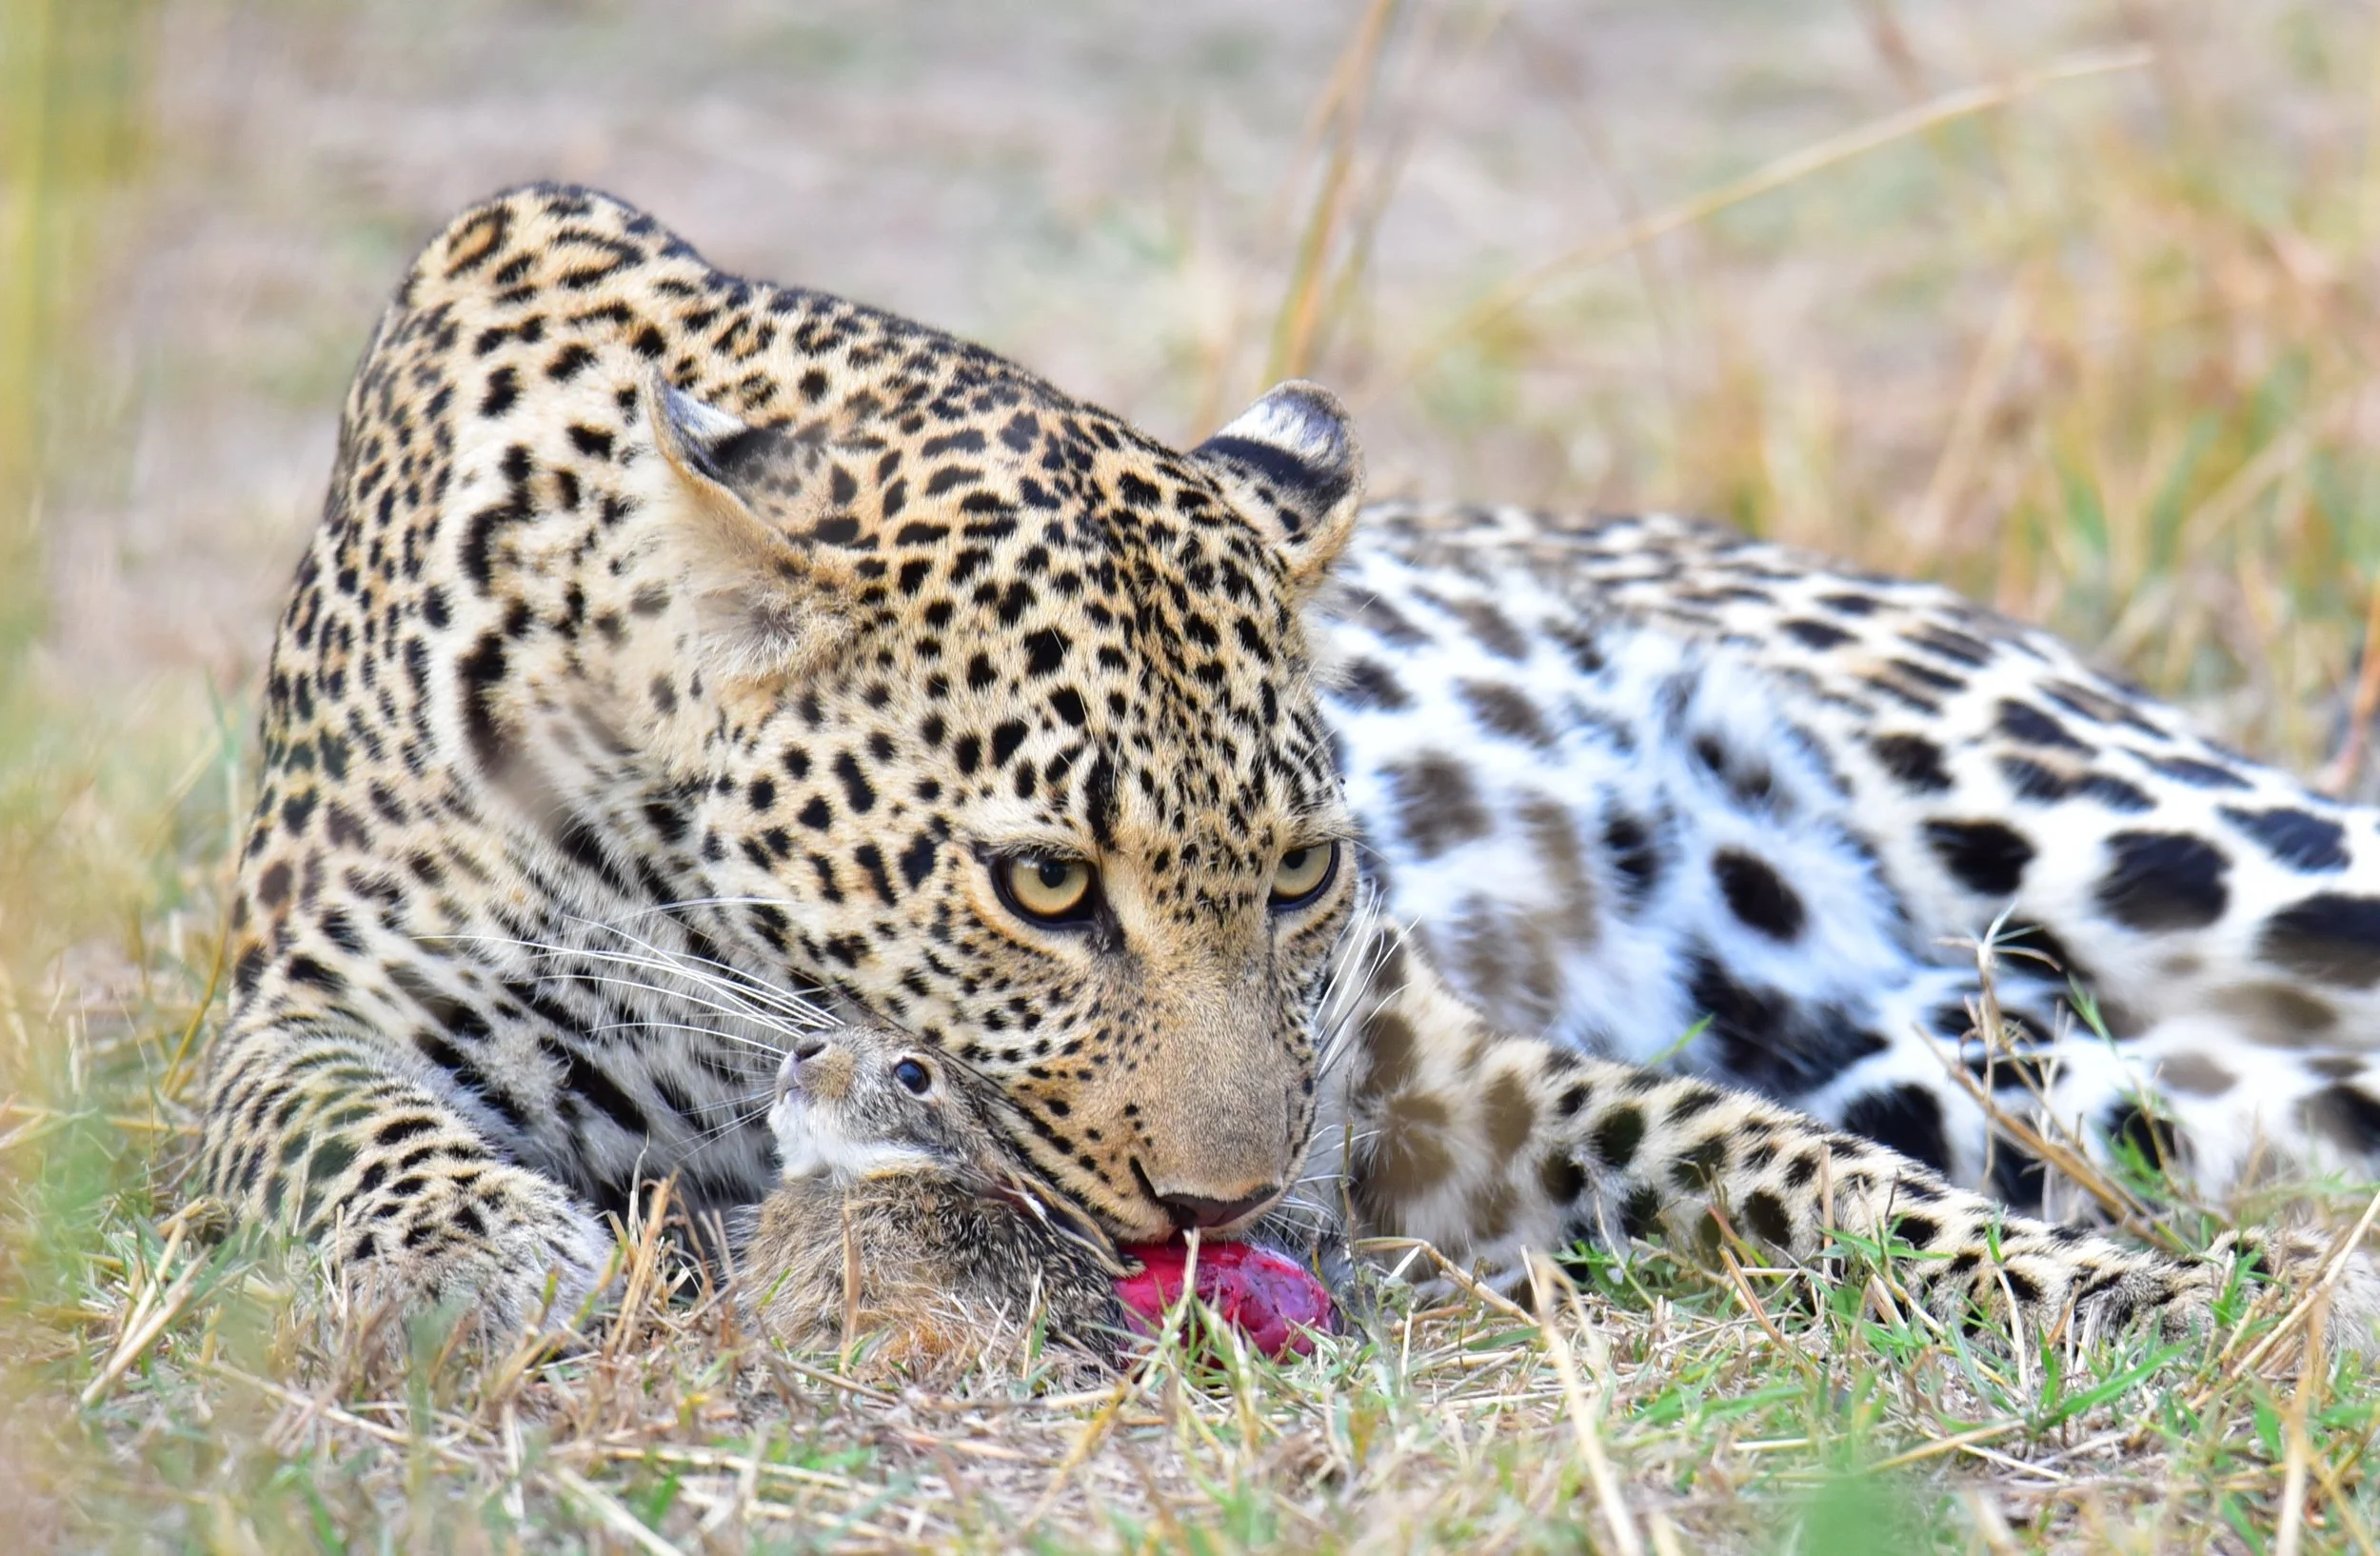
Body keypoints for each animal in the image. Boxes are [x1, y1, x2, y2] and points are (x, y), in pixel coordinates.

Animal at [194, 183, 2380, 1356]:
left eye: (1312, 872)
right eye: (1044, 883)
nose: (1236, 1203)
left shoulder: (1426, 1072)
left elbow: (1750, 1152)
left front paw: (2098, 1298)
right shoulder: (289, 992)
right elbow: (314, 1117)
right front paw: (470, 1250)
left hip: (2145, 844)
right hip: (2007, 1052)